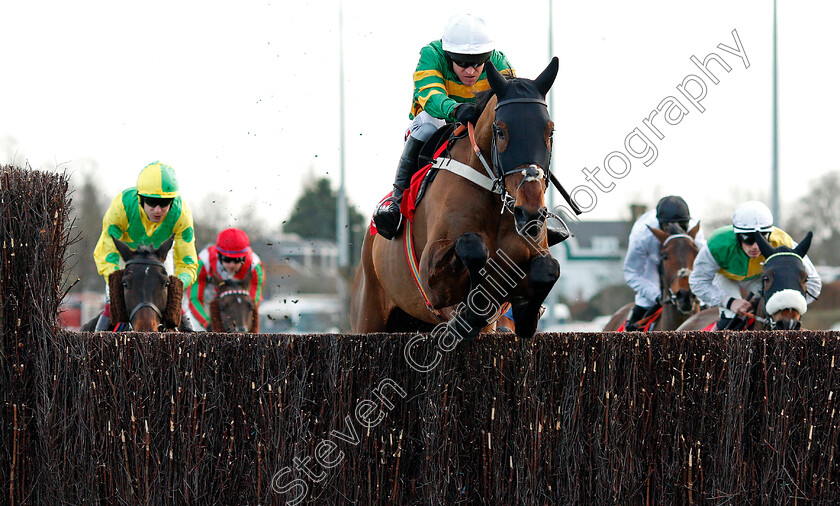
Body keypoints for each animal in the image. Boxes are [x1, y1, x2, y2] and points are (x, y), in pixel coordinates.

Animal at [352, 57, 560, 342]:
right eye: (501, 132)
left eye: (549, 132)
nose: (529, 212)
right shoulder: (432, 277)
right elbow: (471, 245)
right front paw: (471, 313)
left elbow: (549, 267)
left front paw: (527, 313)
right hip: (370, 312)